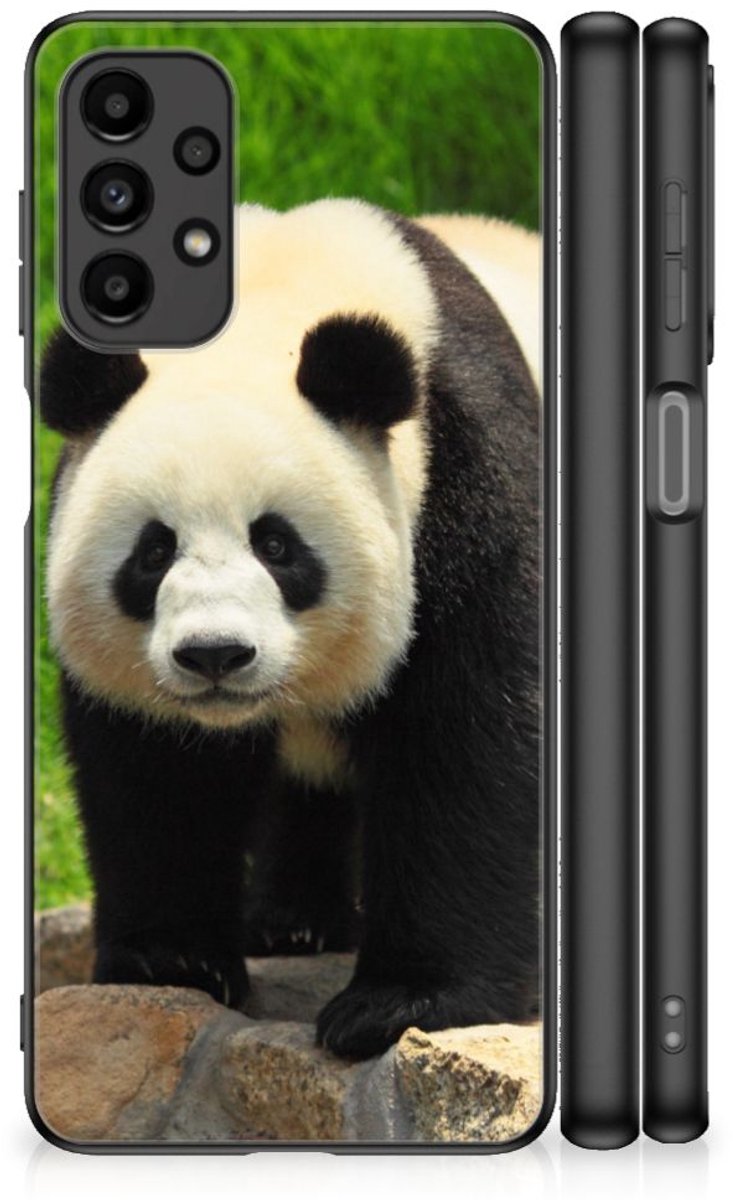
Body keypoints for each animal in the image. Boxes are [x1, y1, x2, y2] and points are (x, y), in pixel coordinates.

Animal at [41, 199, 541, 1060]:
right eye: (153, 551)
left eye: (276, 545)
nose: (214, 655)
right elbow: (154, 771)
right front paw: (172, 961)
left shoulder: (469, 479)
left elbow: (468, 738)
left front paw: (401, 1003)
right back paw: (293, 923)